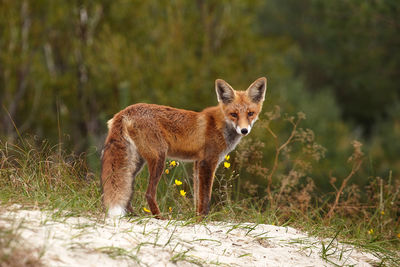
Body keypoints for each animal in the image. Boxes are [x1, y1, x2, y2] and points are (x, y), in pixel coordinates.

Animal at [101, 76, 268, 219]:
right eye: (234, 114)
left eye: (250, 113)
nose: (244, 130)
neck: (219, 125)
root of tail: (124, 111)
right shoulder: (208, 162)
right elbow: (205, 198)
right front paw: (202, 220)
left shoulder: (197, 163)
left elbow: (197, 198)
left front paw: (196, 218)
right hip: (159, 158)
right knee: (148, 194)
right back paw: (160, 218)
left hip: (136, 163)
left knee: (127, 191)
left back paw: (134, 216)